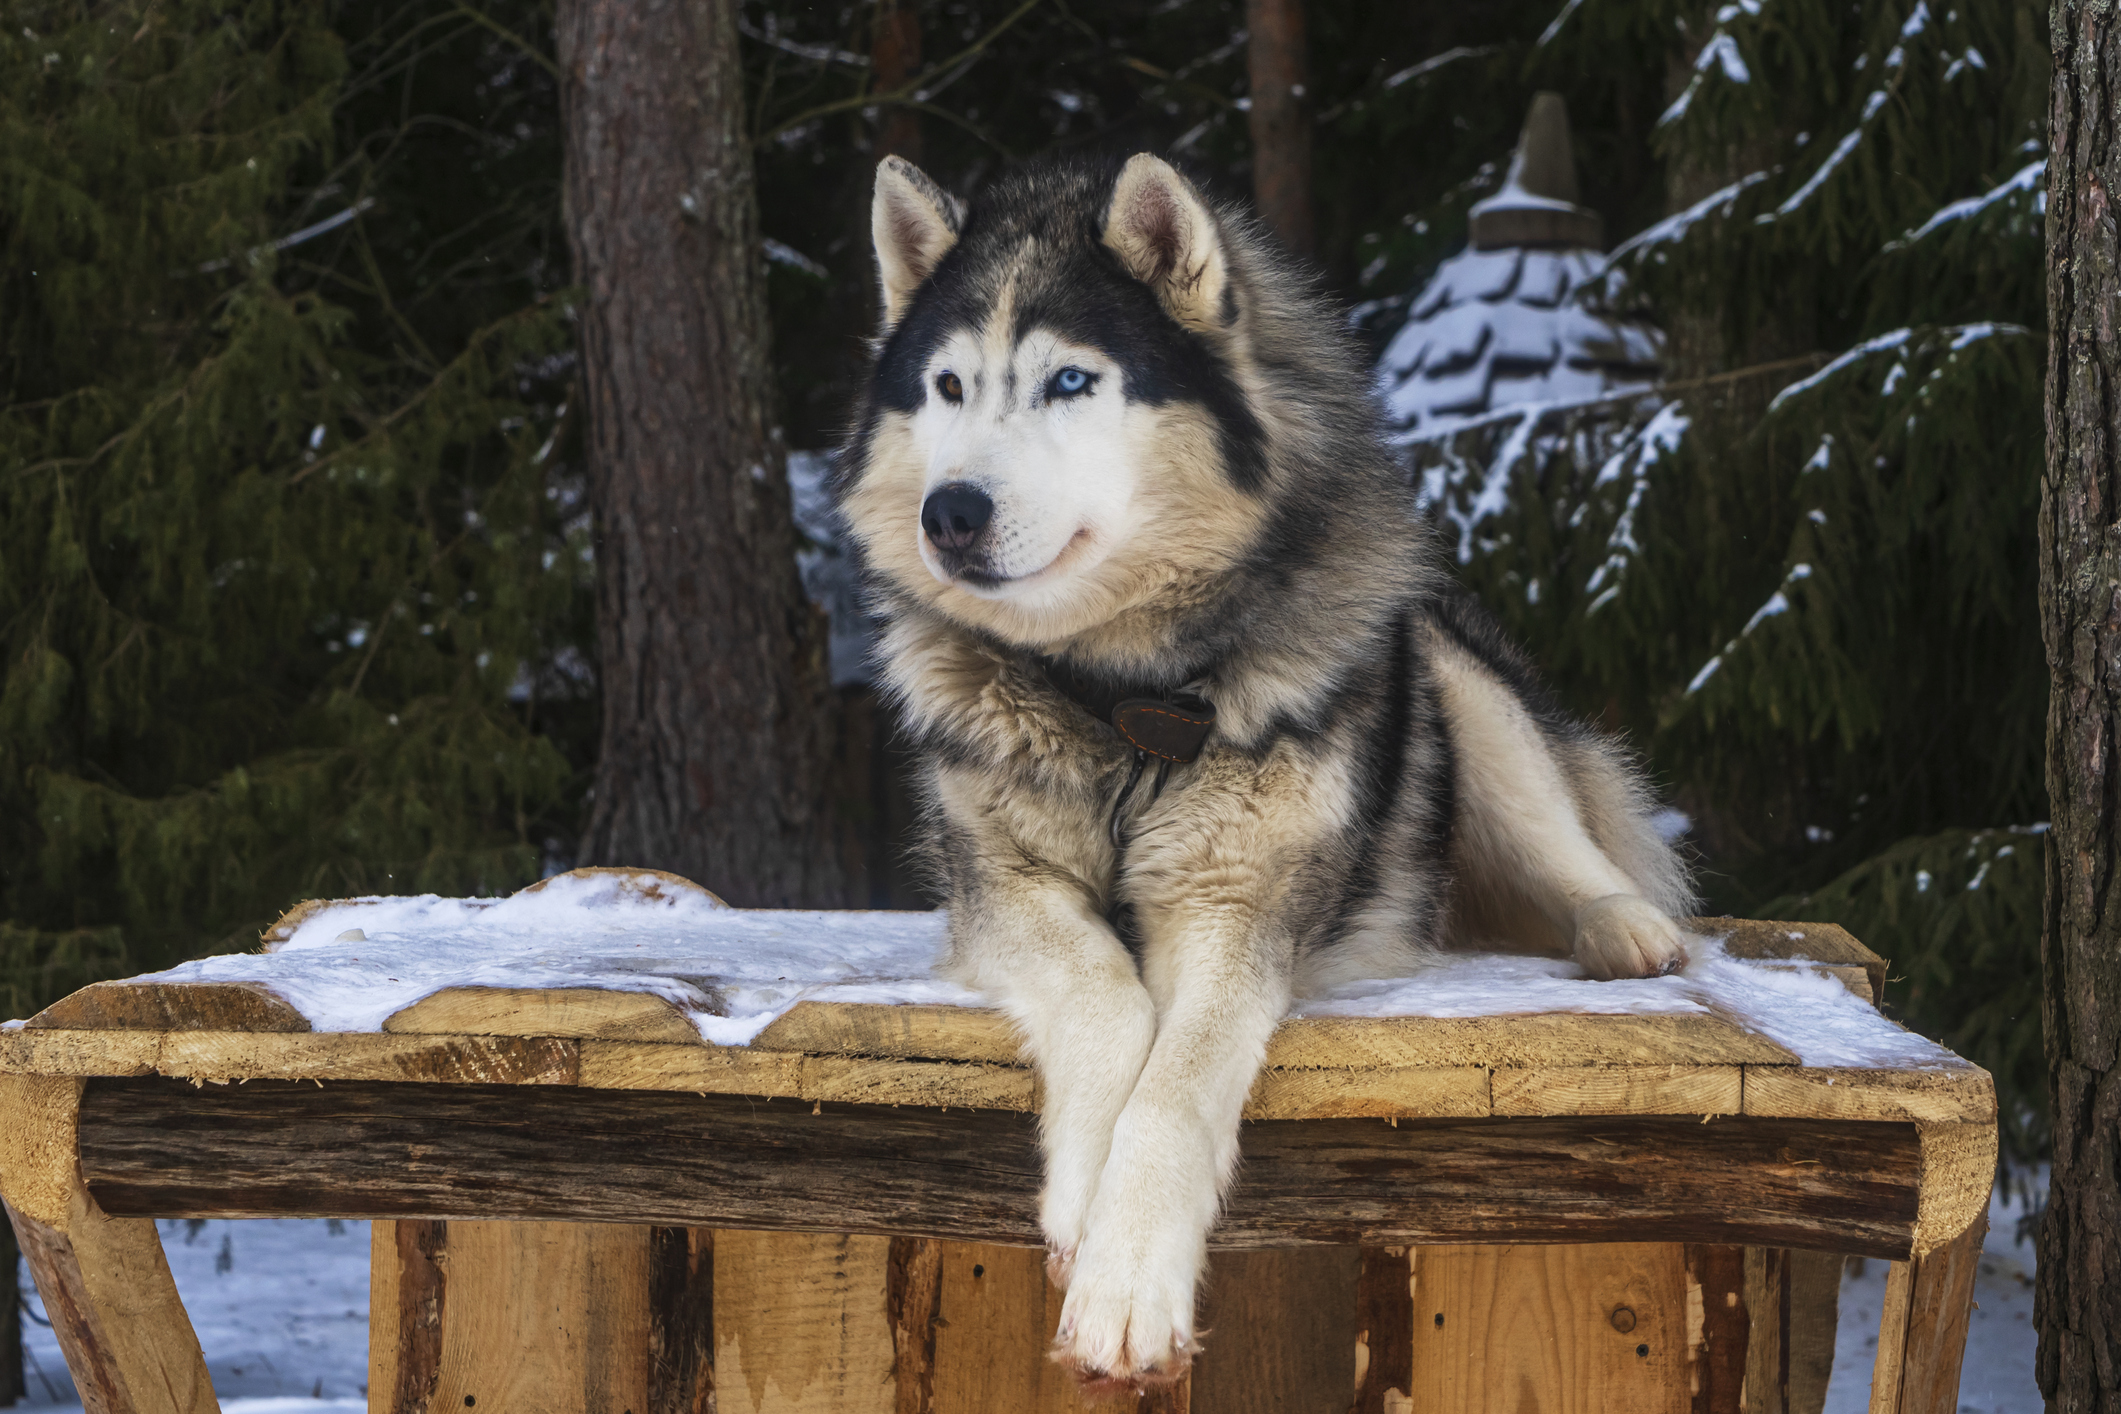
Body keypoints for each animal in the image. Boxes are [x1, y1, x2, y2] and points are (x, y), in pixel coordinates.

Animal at [827, 154, 1688, 1390]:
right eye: (946, 385)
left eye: (1071, 382)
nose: (951, 514)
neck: (1122, 705)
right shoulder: (999, 889)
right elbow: (1105, 997)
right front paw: (1084, 1200)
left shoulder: (1239, 909)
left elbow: (1178, 1080)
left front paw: (1126, 1285)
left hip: (1457, 685)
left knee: (1567, 840)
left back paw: (1623, 926)